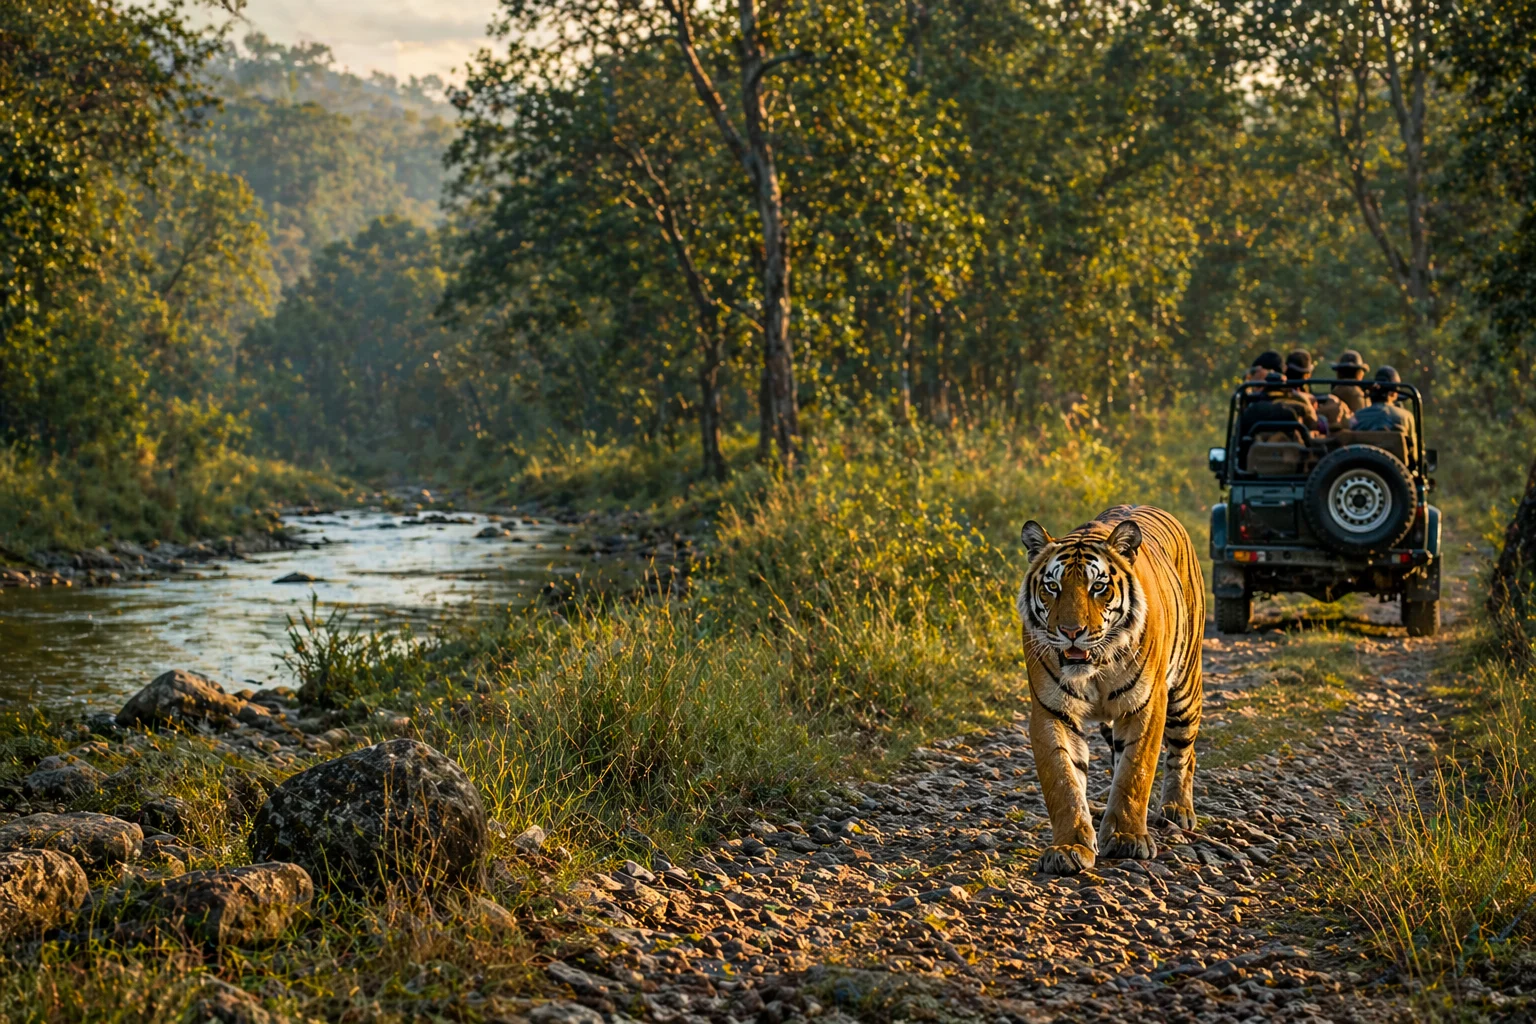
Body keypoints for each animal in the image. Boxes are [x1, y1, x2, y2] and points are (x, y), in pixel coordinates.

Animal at [1017, 504, 1204, 875]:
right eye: (1052, 586)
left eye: (1098, 586)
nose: (1071, 632)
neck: (1096, 669)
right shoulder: (1050, 710)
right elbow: (1063, 780)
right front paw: (1069, 846)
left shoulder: (1146, 704)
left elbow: (1135, 772)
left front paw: (1127, 838)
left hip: (1185, 693)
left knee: (1183, 753)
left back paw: (1177, 810)